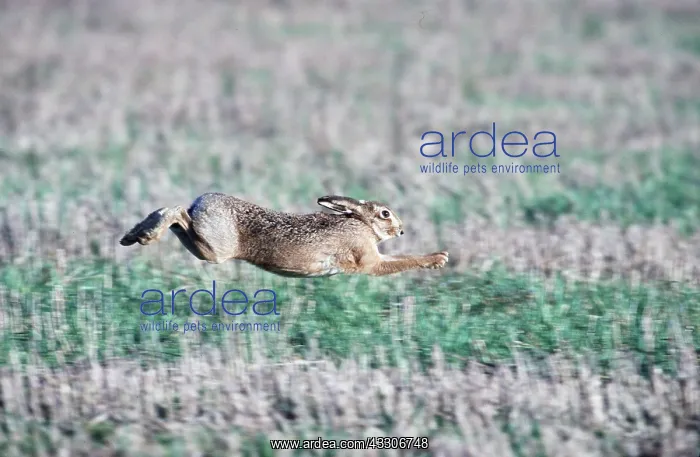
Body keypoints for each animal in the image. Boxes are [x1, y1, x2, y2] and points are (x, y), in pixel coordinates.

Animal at [120, 192, 449, 277]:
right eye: (384, 214)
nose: (402, 229)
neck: (361, 223)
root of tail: (202, 201)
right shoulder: (367, 260)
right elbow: (398, 262)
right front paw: (438, 259)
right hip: (214, 248)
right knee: (177, 212)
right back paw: (145, 235)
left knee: (175, 213)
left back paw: (132, 236)